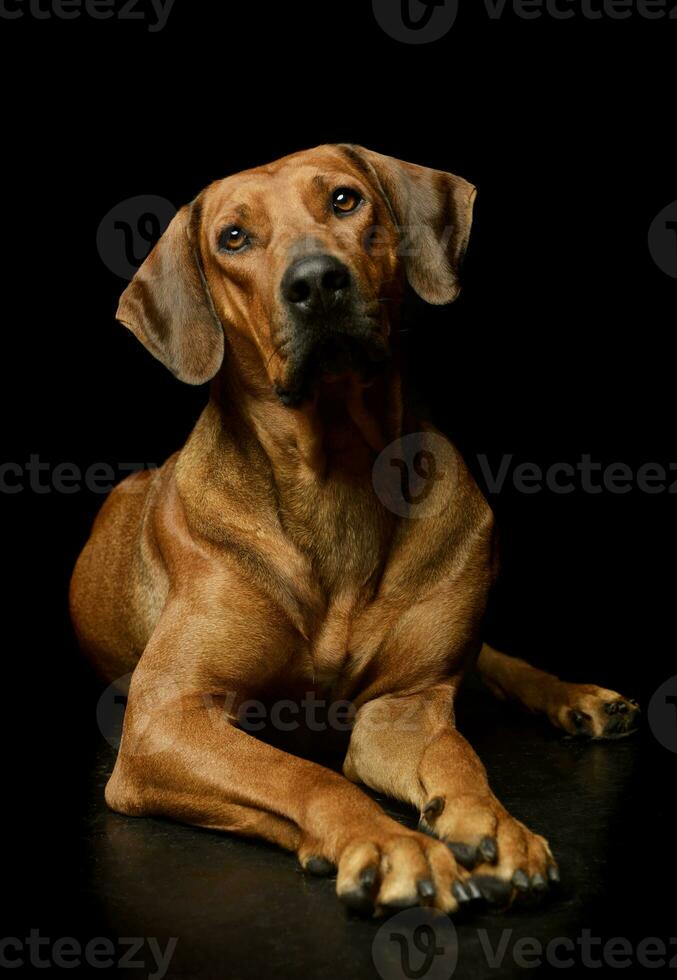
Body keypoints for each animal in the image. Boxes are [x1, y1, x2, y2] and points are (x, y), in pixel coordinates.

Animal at [71, 147, 640, 920]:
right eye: (233, 238)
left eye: (345, 200)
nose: (315, 282)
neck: (334, 473)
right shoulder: (166, 718)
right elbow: (303, 775)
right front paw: (391, 843)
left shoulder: (403, 711)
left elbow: (457, 758)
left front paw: (493, 826)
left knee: (491, 660)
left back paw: (577, 698)